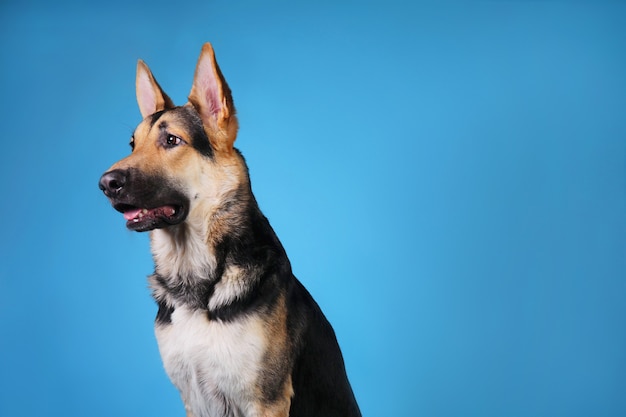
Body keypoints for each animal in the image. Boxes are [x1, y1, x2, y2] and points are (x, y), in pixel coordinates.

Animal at [97, 42, 360, 416]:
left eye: (172, 140)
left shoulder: (266, 401)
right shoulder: (192, 400)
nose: (105, 184)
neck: (197, 280)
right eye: (133, 144)